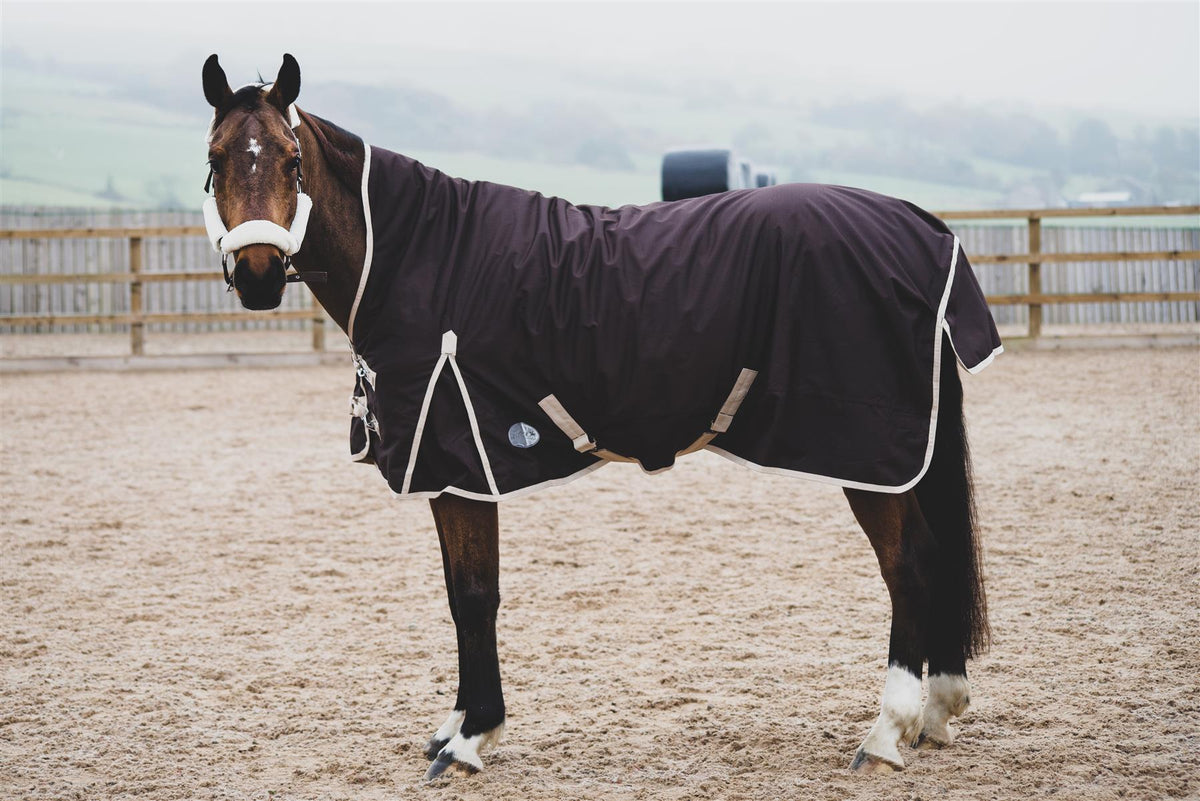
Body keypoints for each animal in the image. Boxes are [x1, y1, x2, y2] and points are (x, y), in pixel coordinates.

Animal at [200, 53, 1000, 780]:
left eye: (291, 159)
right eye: (215, 158)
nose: (260, 275)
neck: (418, 258)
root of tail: (920, 225)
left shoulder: (464, 467)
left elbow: (475, 597)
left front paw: (471, 738)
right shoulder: (450, 472)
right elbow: (460, 596)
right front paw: (456, 727)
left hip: (870, 454)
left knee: (909, 564)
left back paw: (887, 731)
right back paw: (935, 711)